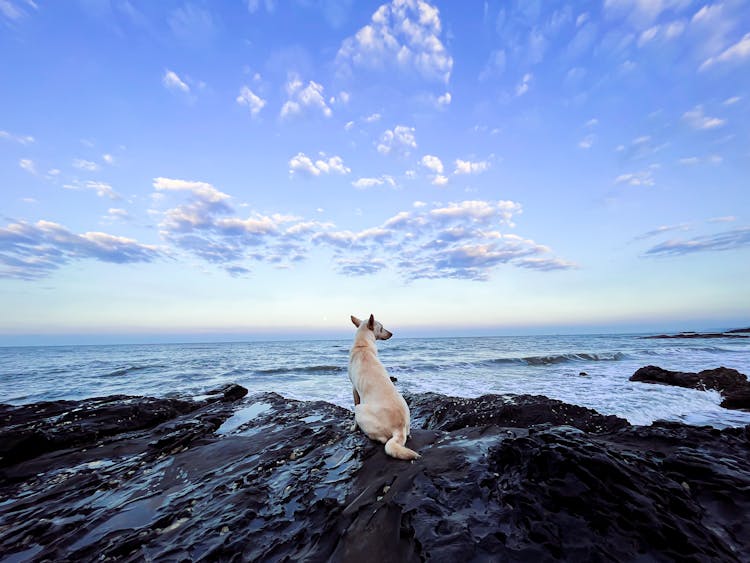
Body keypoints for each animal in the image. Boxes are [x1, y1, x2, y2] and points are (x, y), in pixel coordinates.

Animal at [350, 316, 420, 460]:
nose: (391, 333)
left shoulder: (354, 389)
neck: (362, 346)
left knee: (382, 439)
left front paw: (354, 428)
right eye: (382, 328)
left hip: (360, 410)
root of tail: (399, 429)